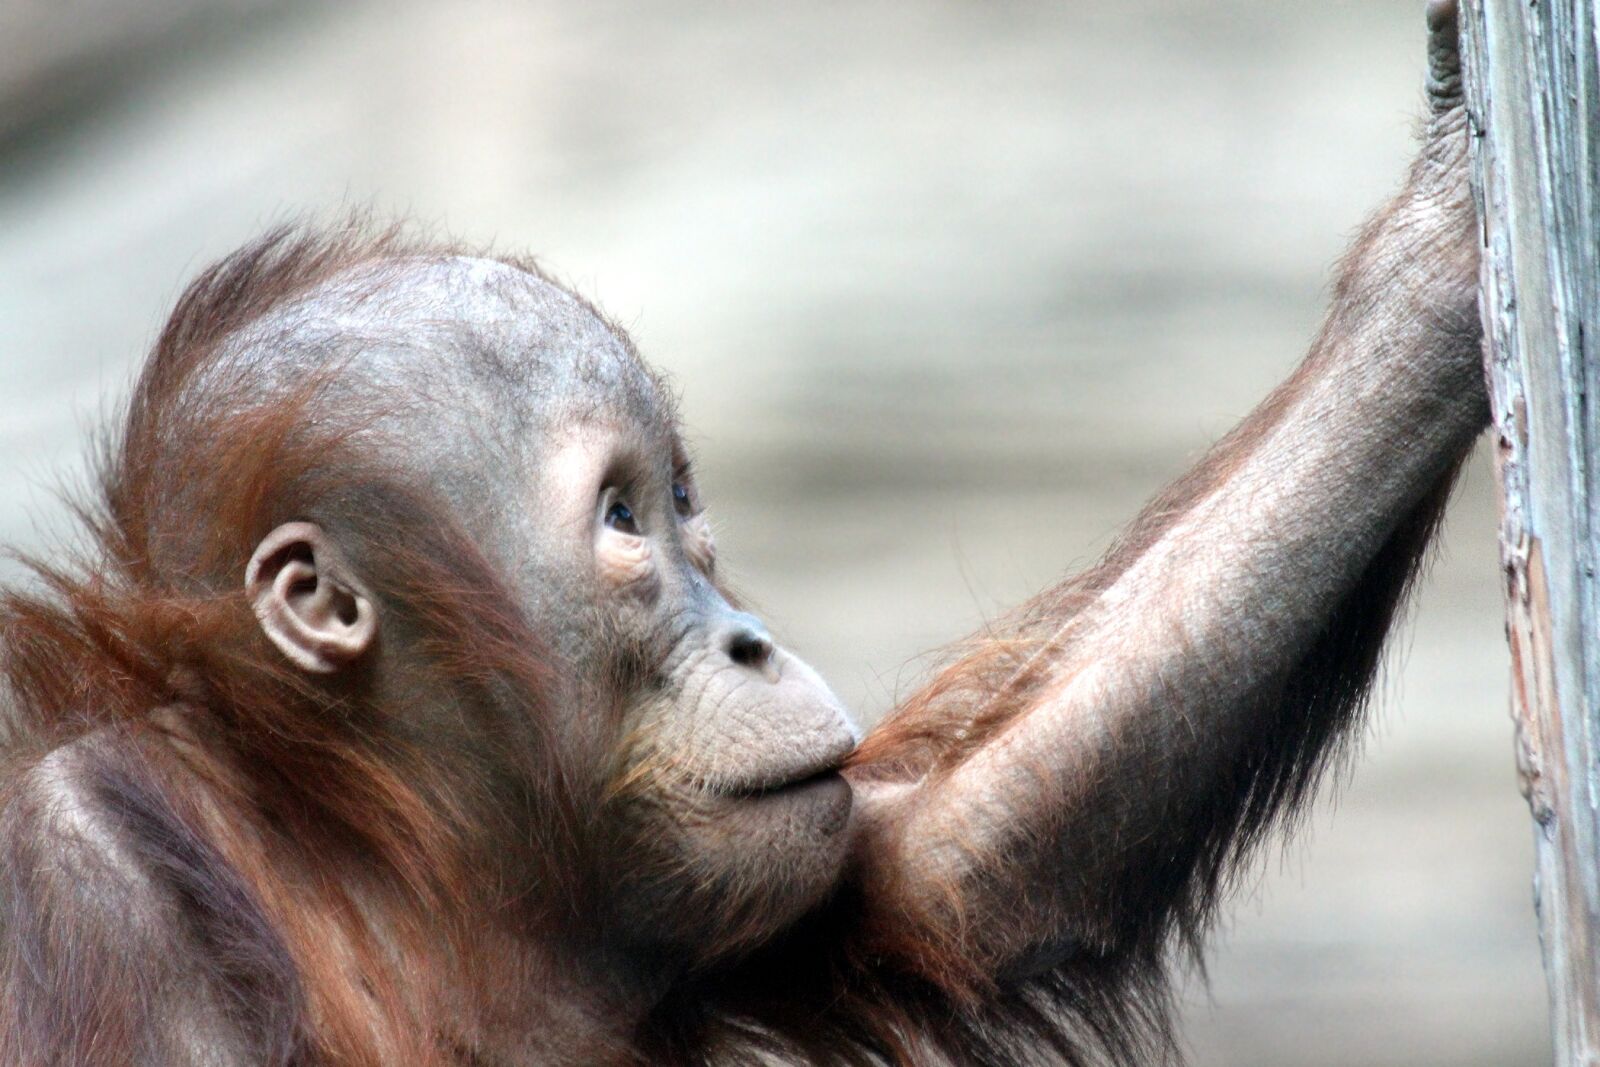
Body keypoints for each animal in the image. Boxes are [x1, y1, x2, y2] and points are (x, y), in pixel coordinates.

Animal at [0, 3, 1484, 1064]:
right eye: (618, 517)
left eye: (682, 505)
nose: (750, 638)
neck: (372, 834)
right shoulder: (83, 890)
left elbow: (954, 848)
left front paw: (1444, 245)